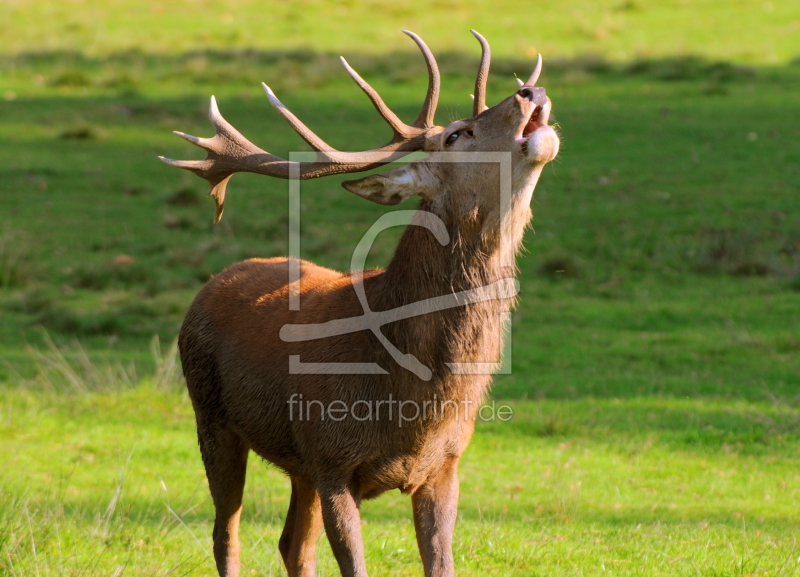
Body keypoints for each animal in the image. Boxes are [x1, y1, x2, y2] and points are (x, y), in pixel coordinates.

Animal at [162, 30, 560, 576]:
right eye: (457, 135)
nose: (530, 91)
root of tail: (213, 281)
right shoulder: (333, 461)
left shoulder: (445, 465)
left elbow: (441, 565)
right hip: (212, 418)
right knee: (226, 533)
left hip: (299, 464)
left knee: (292, 544)